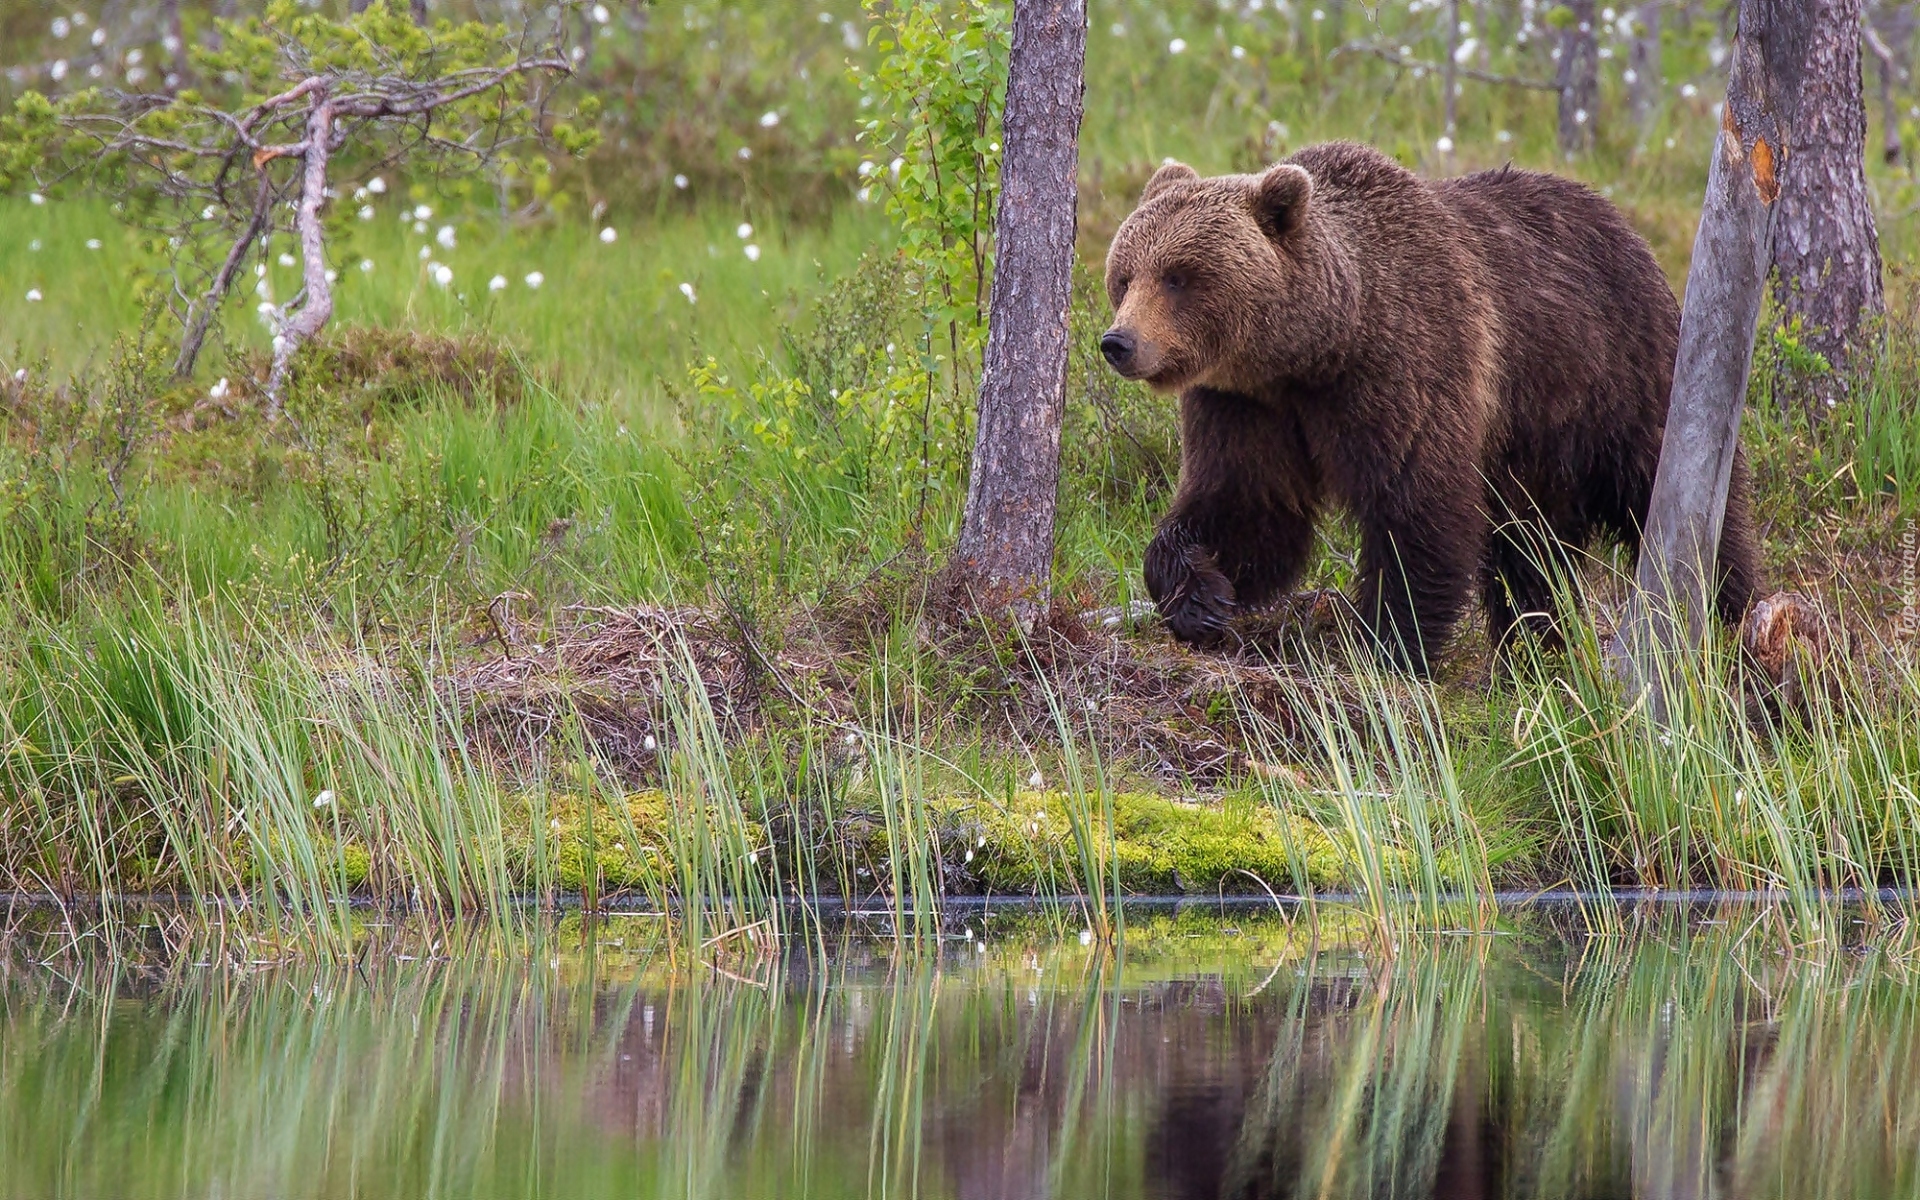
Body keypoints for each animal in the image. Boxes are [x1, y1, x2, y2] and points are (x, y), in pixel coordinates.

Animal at [1105, 141, 1758, 668]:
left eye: (1179, 276)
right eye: (1125, 275)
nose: (1119, 343)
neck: (1315, 350)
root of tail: (1625, 226)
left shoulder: (1408, 365)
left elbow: (1415, 508)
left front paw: (1386, 644)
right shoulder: (1246, 405)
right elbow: (1248, 506)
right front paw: (1201, 598)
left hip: (1618, 376)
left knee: (1667, 492)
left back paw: (1731, 617)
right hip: (1536, 442)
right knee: (1533, 548)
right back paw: (1534, 646)